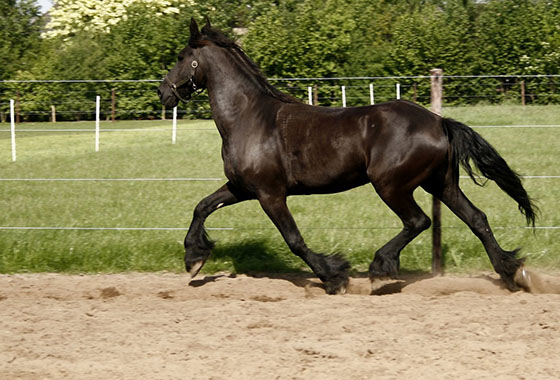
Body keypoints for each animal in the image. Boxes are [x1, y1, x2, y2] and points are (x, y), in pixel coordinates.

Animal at [159, 18, 540, 294]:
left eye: (180, 57)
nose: (164, 92)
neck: (248, 117)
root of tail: (439, 122)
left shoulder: (270, 194)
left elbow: (294, 240)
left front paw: (334, 276)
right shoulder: (242, 188)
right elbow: (202, 207)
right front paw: (194, 258)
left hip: (391, 186)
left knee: (418, 221)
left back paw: (380, 269)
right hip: (441, 184)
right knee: (477, 219)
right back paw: (511, 273)